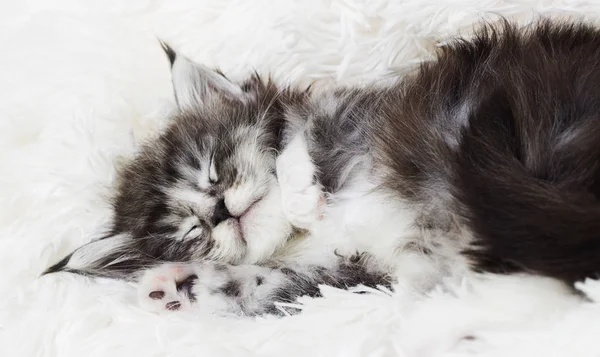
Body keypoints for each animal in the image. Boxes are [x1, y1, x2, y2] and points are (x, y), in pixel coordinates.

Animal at [44, 19, 600, 314]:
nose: (220, 211)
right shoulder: (349, 272)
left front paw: (302, 198)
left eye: (212, 168)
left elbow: (293, 144)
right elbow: (275, 282)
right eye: (188, 232)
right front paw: (181, 286)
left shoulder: (354, 111)